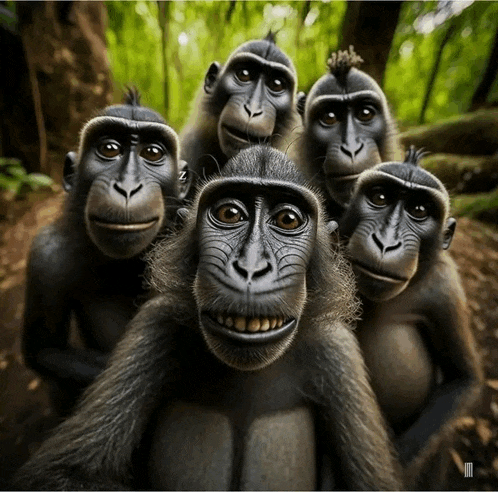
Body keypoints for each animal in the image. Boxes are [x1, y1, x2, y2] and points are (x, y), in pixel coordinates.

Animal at [14, 146, 404, 492]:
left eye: (288, 220)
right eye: (229, 214)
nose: (250, 266)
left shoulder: (336, 351)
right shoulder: (158, 324)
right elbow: (64, 473)